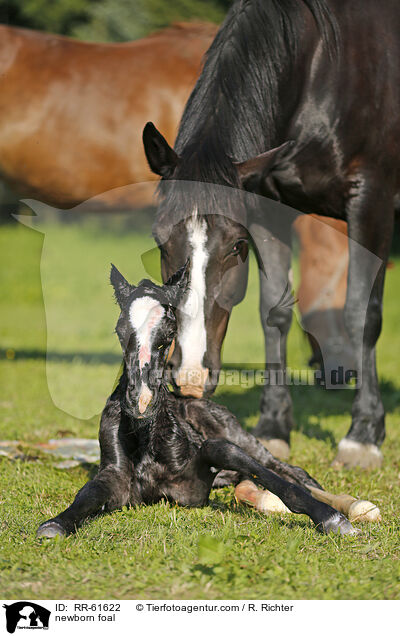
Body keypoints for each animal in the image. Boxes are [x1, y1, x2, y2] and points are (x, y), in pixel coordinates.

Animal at [37, 264, 366, 536]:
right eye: (120, 330)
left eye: (170, 331)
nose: (140, 402)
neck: (147, 436)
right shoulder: (116, 477)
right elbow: (88, 495)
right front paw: (54, 524)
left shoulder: (198, 482)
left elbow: (235, 456)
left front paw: (332, 519)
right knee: (248, 481)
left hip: (244, 437)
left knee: (289, 471)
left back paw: (353, 505)